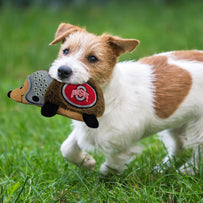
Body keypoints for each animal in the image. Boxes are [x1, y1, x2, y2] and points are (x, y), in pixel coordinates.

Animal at [49, 22, 203, 174]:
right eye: (66, 51)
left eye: (93, 58)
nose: (62, 70)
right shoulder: (85, 129)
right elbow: (67, 148)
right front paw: (87, 162)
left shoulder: (119, 146)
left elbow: (111, 167)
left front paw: (104, 176)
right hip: (176, 121)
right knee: (179, 145)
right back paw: (162, 168)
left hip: (198, 126)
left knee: (198, 151)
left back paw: (188, 170)